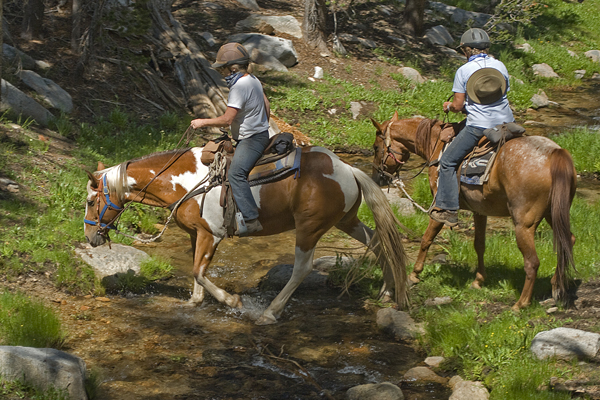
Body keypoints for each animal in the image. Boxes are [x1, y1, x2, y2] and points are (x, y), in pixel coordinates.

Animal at [83, 145, 408, 324]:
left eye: (89, 201)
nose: (89, 237)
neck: (187, 182)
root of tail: (349, 170)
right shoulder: (196, 234)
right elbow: (195, 270)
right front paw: (194, 302)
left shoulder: (211, 234)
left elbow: (199, 271)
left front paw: (232, 301)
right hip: (346, 220)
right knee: (379, 242)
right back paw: (387, 290)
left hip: (309, 227)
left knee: (302, 269)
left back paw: (269, 313)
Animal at [370, 111, 576, 310]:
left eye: (375, 147)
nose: (377, 178)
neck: (436, 144)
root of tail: (555, 153)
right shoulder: (480, 211)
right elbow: (479, 245)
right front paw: (478, 281)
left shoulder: (439, 208)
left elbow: (426, 239)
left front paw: (414, 275)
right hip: (553, 214)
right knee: (567, 242)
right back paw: (557, 288)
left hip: (524, 224)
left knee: (532, 262)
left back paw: (520, 304)